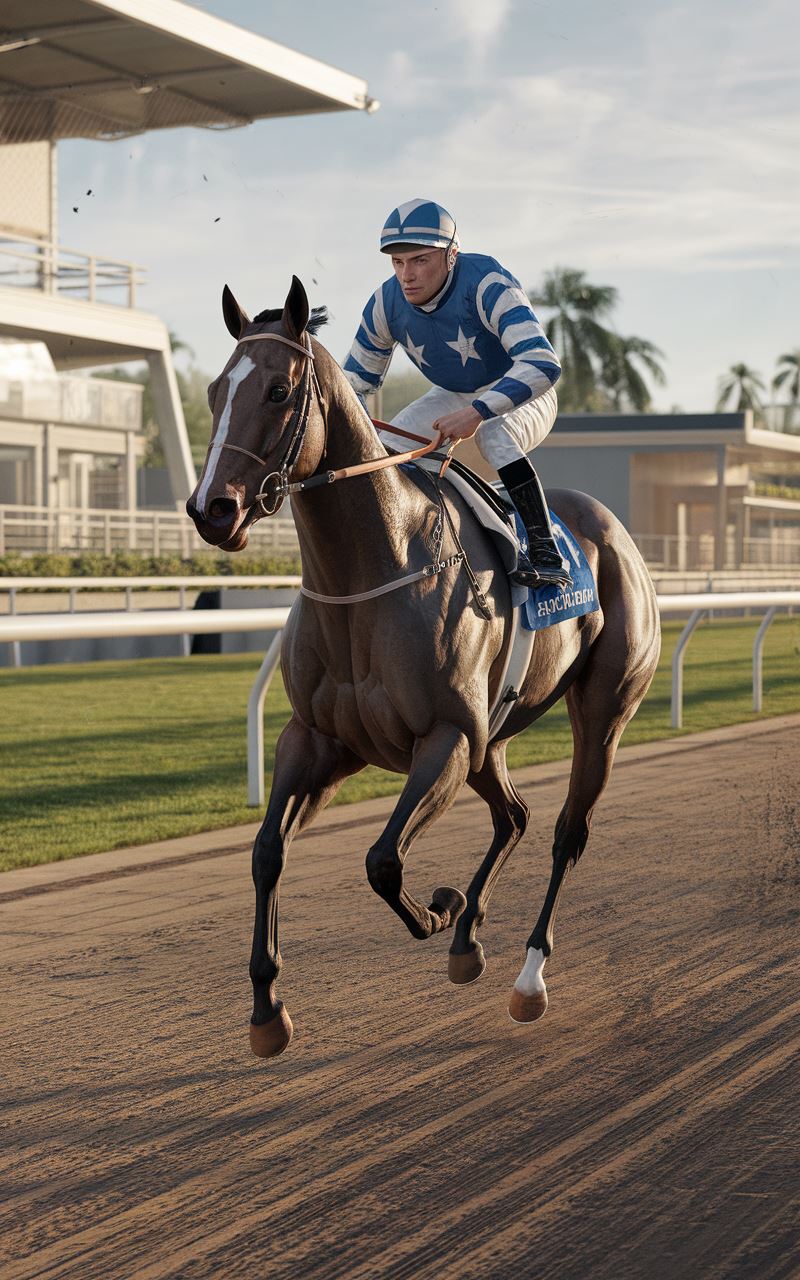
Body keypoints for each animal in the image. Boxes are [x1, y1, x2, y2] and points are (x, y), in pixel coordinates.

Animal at [186, 275, 660, 1054]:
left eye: (280, 390)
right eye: (213, 389)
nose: (211, 510)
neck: (373, 571)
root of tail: (611, 529)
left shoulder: (445, 738)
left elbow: (382, 861)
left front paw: (438, 909)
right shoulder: (317, 741)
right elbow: (265, 851)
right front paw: (266, 1009)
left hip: (602, 712)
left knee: (567, 831)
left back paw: (527, 975)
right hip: (492, 738)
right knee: (516, 815)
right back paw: (469, 937)